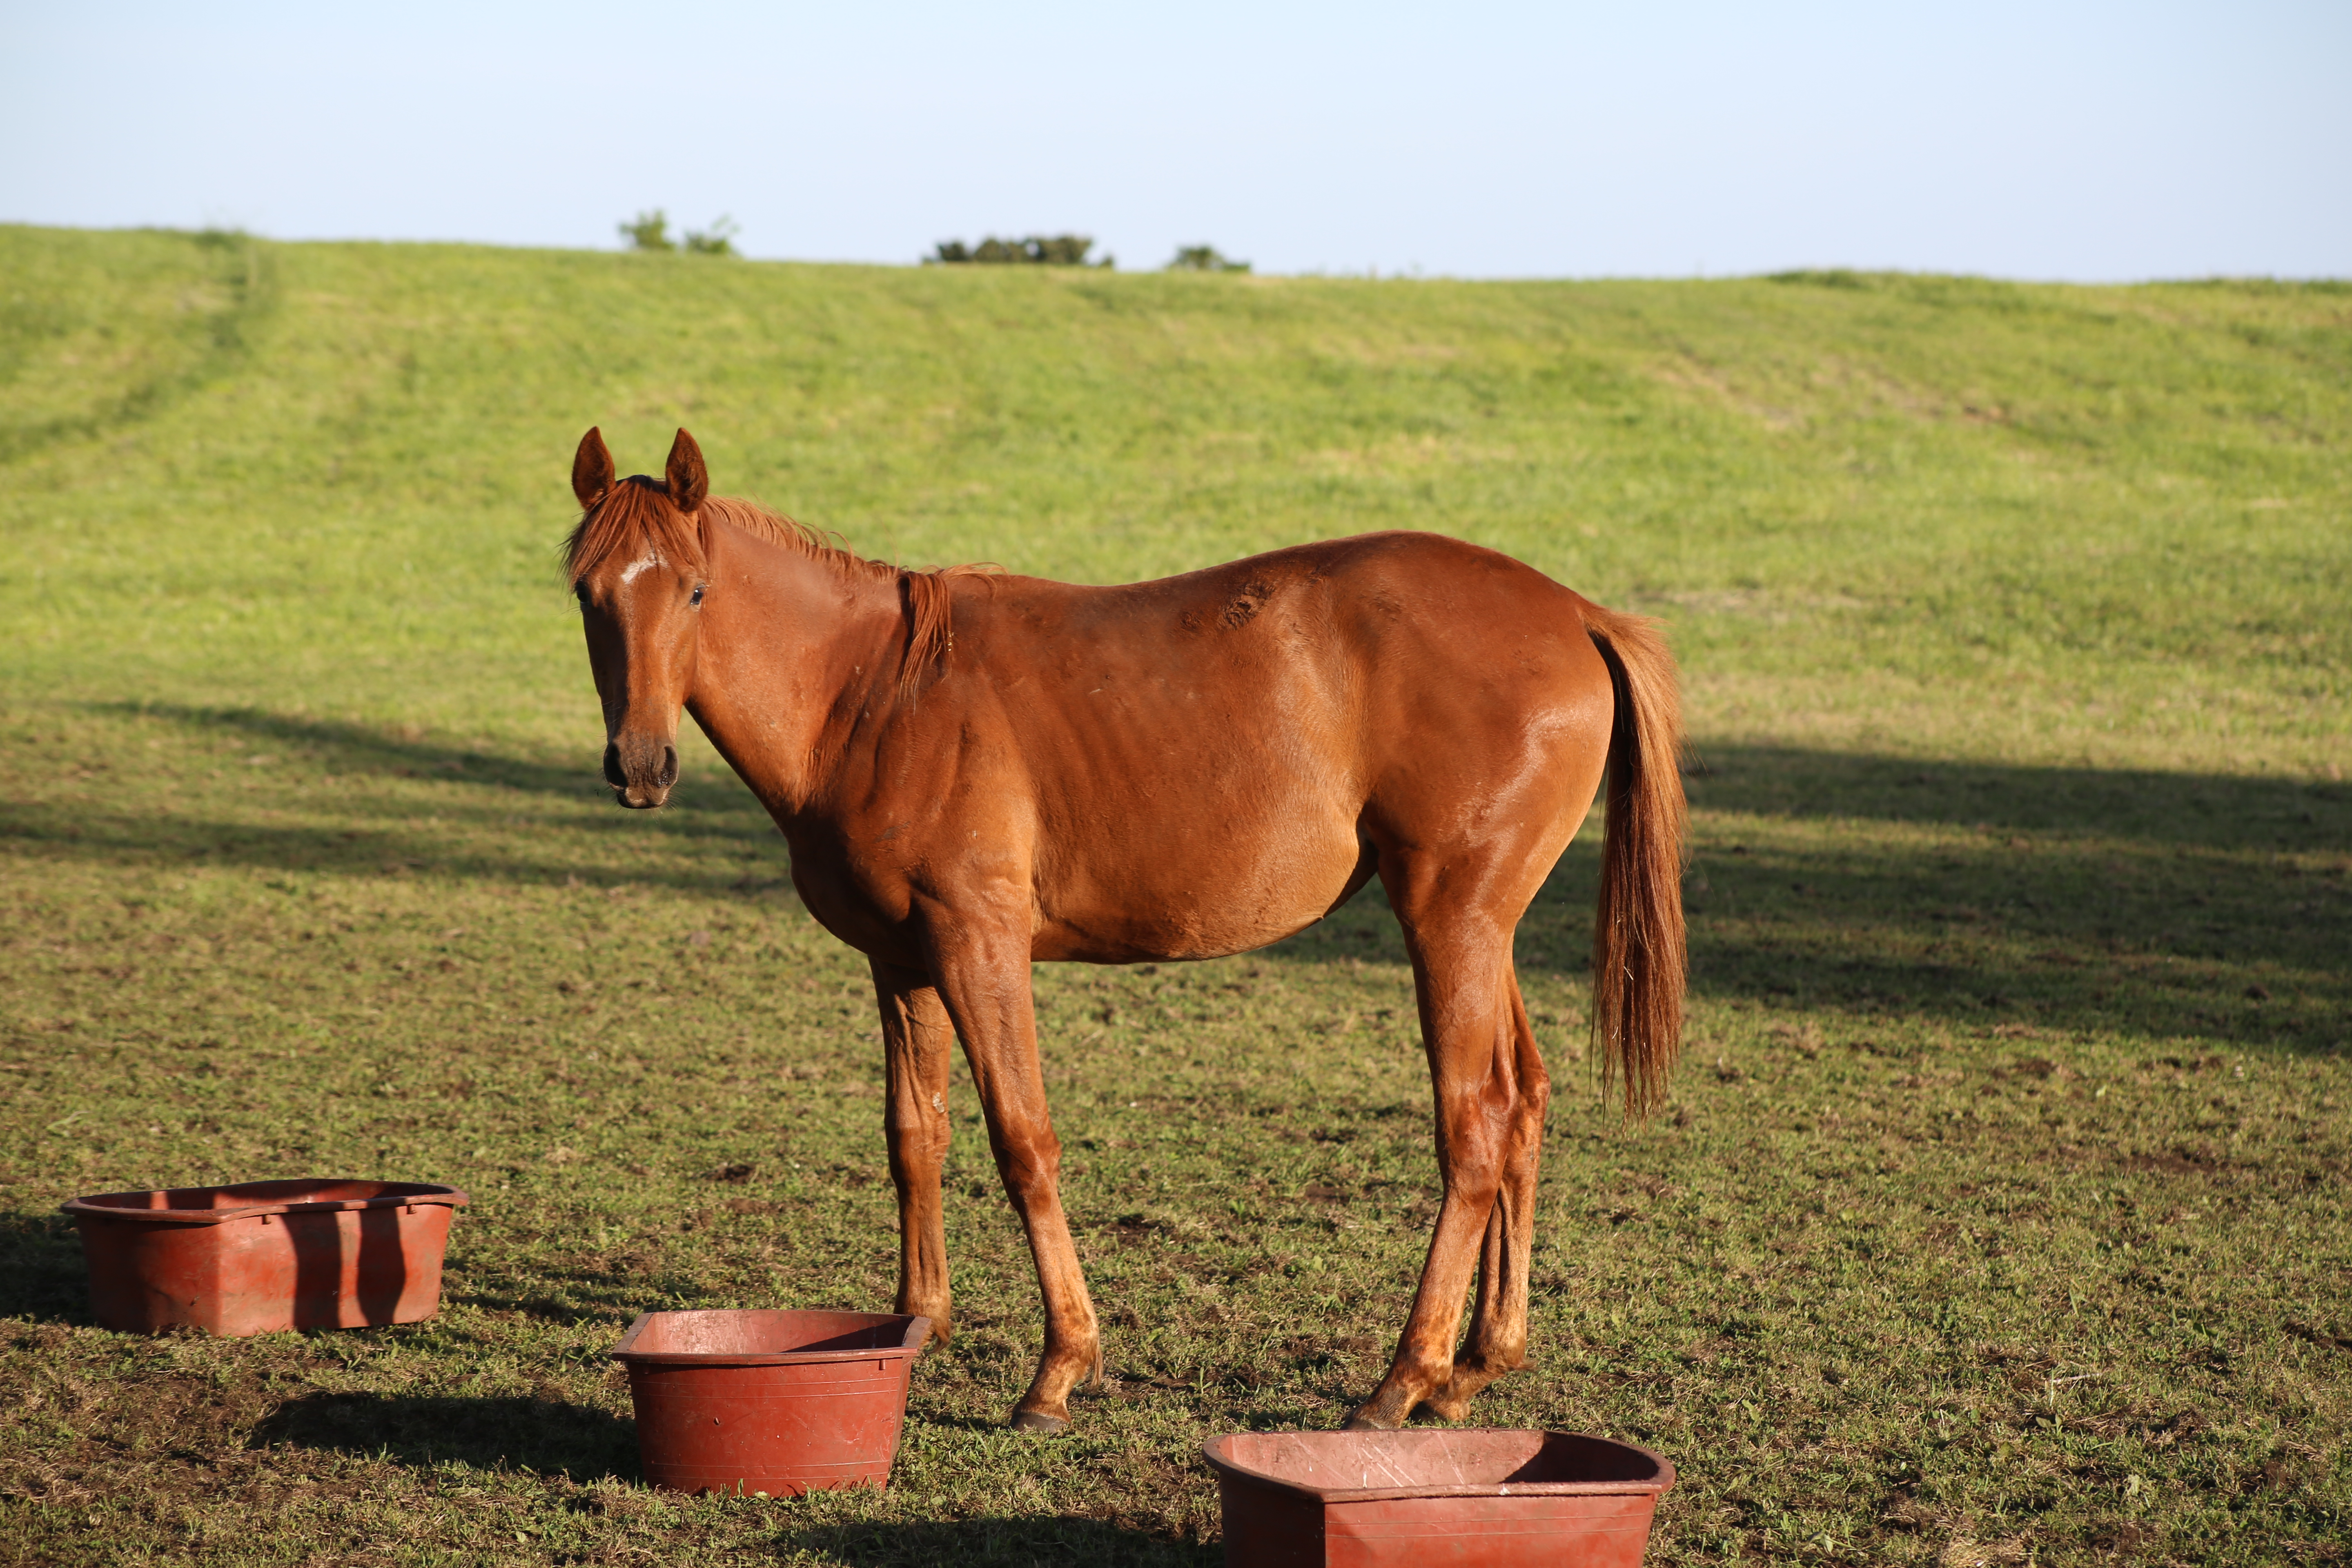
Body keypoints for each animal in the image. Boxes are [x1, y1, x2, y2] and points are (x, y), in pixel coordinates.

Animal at [559, 430, 1684, 1439]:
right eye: (587, 593)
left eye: (694, 591)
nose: (640, 765)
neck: (873, 692)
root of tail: (1576, 615)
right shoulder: (901, 962)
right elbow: (915, 1135)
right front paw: (915, 1324)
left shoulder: (978, 947)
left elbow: (1022, 1141)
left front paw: (1060, 1369)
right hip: (1481, 931)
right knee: (1523, 1104)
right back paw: (1474, 1366)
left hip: (1448, 922)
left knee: (1475, 1126)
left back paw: (1402, 1378)